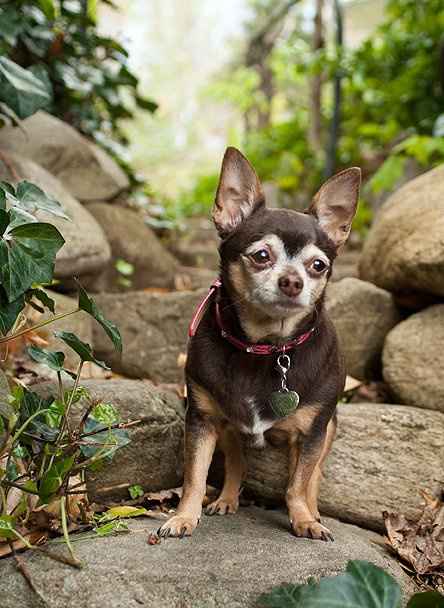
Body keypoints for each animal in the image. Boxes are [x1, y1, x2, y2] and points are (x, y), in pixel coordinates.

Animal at [158, 147, 360, 540]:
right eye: (261, 256)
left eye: (318, 265)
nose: (293, 282)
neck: (266, 348)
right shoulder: (202, 420)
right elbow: (194, 477)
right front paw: (183, 517)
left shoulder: (313, 431)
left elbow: (297, 484)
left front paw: (304, 520)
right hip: (227, 430)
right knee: (237, 463)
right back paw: (226, 499)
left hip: (329, 428)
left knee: (312, 476)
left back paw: (313, 513)